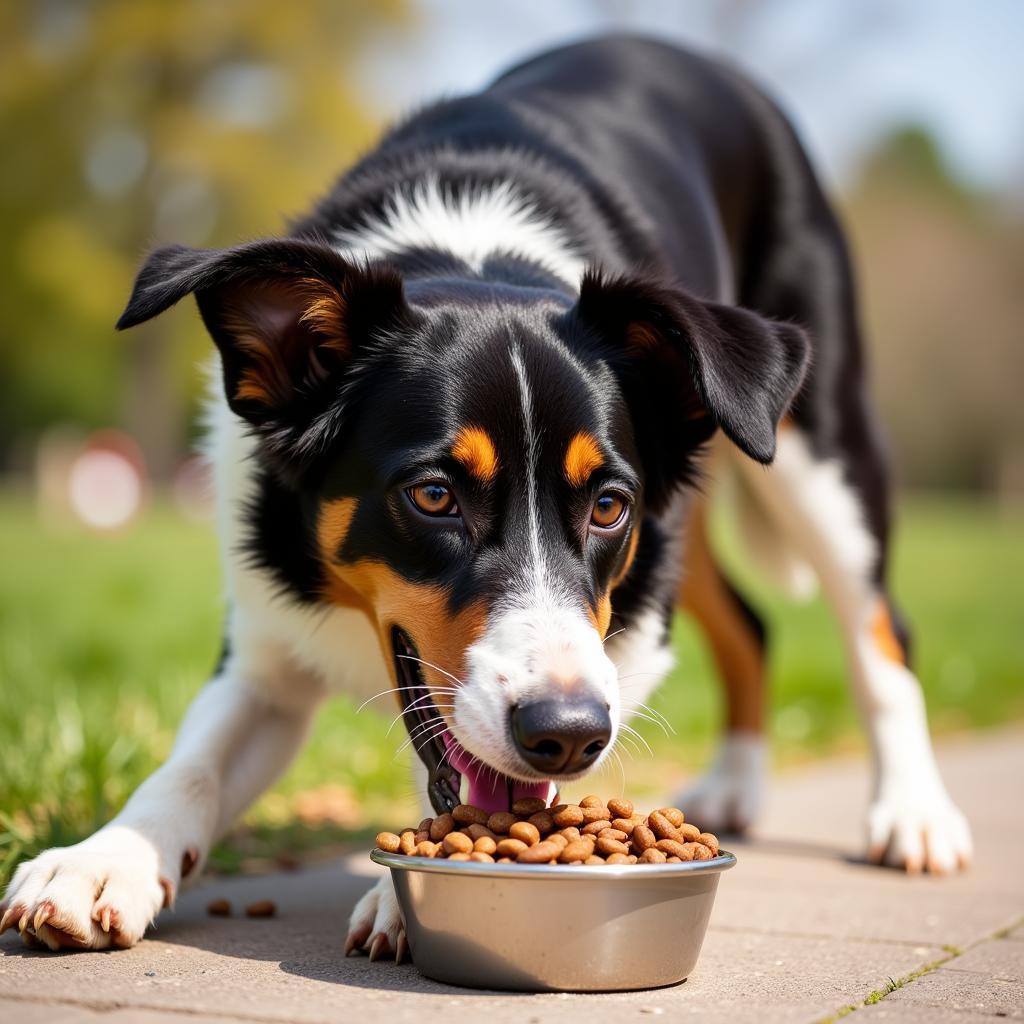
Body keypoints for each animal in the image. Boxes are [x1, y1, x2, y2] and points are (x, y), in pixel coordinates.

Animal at [0, 34, 970, 958]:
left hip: (820, 451)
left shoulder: (626, 618)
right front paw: (101, 862)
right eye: (434, 496)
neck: (475, 257)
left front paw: (397, 894)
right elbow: (191, 763)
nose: (568, 732)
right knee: (753, 624)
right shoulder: (267, 646)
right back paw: (735, 783)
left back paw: (914, 814)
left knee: (880, 631)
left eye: (607, 505)